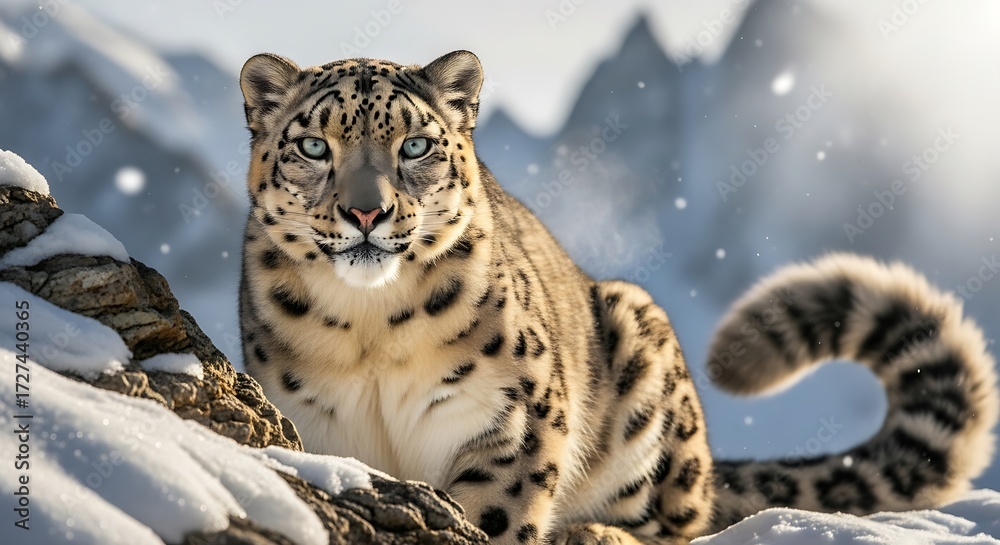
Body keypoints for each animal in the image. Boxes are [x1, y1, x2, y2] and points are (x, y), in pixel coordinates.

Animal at [237, 50, 999, 544]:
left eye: (416, 145)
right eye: (313, 146)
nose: (367, 212)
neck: (370, 331)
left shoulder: (510, 418)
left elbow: (494, 513)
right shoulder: (309, 424)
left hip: (646, 363)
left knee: (672, 524)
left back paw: (601, 533)